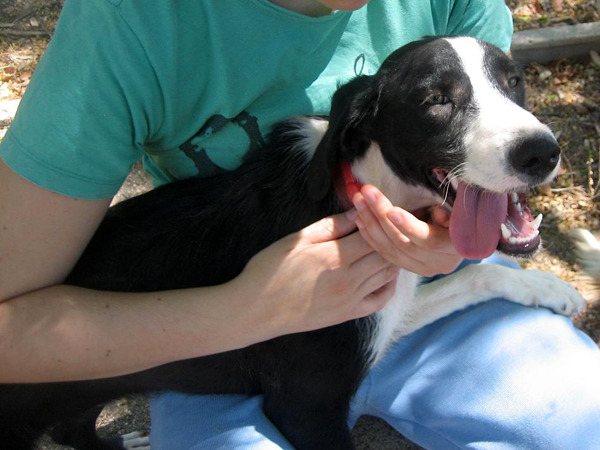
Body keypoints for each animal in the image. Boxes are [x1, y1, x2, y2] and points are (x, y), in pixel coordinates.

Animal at [1, 37, 584, 450]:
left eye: (514, 81)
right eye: (436, 99)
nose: (541, 152)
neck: (357, 191)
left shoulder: (385, 312)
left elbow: (476, 274)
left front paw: (552, 289)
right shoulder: (306, 405)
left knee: (70, 429)